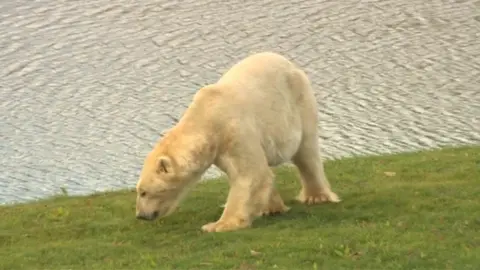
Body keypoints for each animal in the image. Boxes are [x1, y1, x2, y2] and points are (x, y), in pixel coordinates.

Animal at [135, 51, 342, 232]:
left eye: (143, 191)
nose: (140, 215)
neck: (207, 116)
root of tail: (289, 63)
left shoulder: (234, 130)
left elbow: (249, 173)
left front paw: (217, 225)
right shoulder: (220, 149)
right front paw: (270, 207)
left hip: (298, 103)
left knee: (306, 151)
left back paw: (316, 197)